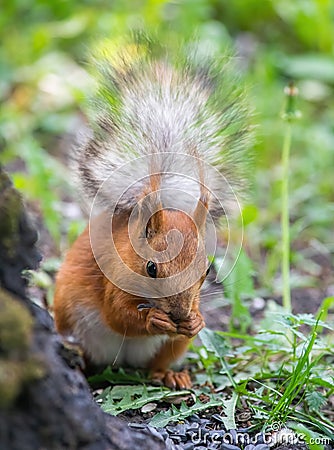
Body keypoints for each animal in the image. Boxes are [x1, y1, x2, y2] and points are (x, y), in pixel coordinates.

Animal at [53, 40, 252, 388]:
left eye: (206, 272)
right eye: (151, 268)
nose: (179, 314)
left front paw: (196, 321)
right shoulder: (113, 278)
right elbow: (118, 316)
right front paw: (154, 319)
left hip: (171, 349)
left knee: (156, 364)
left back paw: (170, 374)